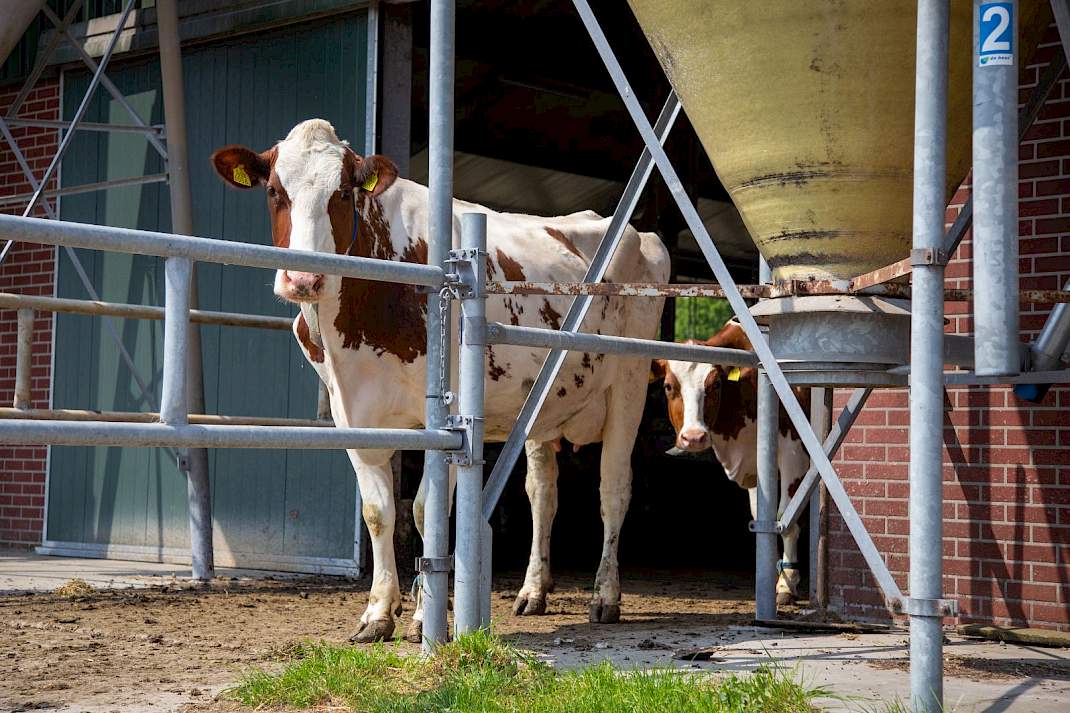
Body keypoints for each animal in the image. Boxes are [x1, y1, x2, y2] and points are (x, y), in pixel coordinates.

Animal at [210, 119, 670, 642]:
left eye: (343, 192)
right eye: (274, 191)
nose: (304, 281)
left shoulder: (447, 419)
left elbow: (424, 510)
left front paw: (422, 617)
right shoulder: (352, 413)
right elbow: (379, 513)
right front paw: (377, 613)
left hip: (629, 385)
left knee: (613, 489)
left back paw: (605, 596)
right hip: (543, 404)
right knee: (543, 493)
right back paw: (533, 591)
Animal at [651, 319, 808, 605]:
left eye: (715, 385)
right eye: (668, 386)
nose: (694, 437)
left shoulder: (794, 452)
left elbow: (786, 517)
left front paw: (786, 583)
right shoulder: (755, 463)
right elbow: (761, 516)